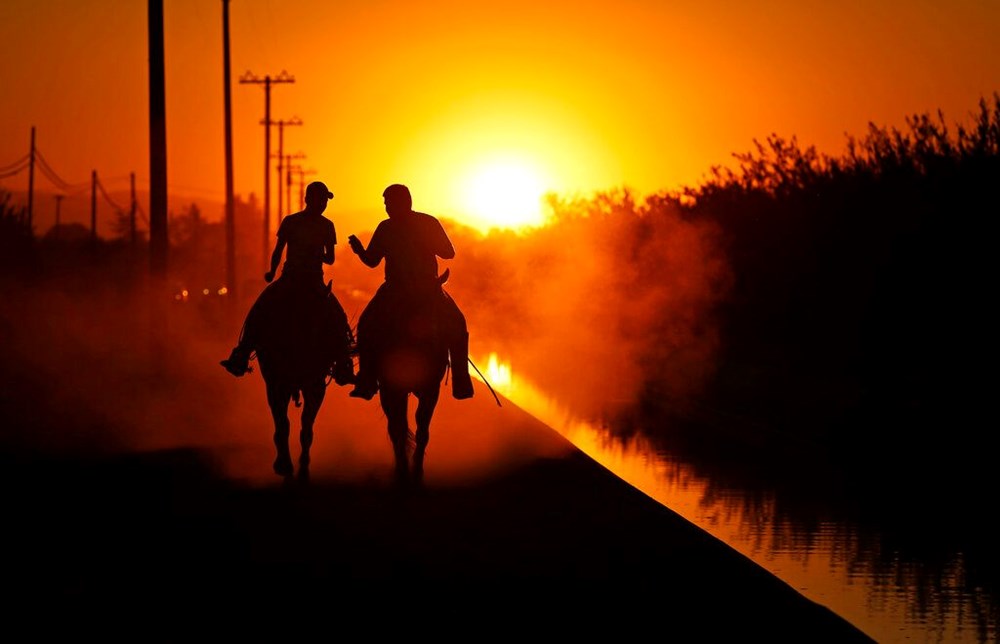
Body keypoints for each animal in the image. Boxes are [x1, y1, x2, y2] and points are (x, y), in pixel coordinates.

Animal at [245, 280, 352, 480]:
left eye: (326, 320)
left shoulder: (316, 386)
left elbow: (306, 426)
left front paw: (303, 468)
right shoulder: (276, 385)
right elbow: (283, 424)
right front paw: (284, 464)